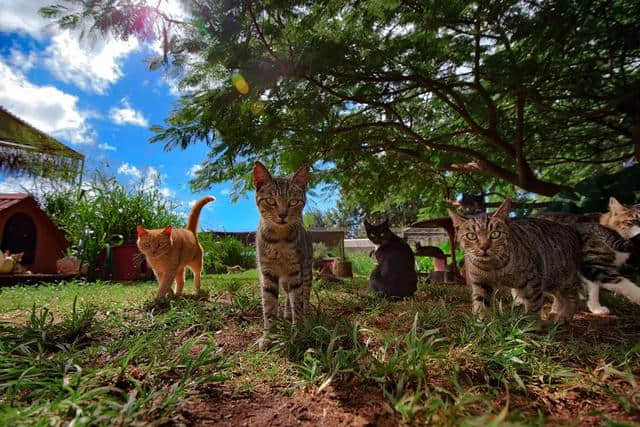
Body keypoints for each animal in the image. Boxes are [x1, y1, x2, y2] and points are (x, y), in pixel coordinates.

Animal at [255, 162, 316, 350]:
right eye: (271, 201)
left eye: (293, 201)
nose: (282, 215)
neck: (279, 240)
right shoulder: (267, 273)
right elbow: (269, 307)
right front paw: (268, 335)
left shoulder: (296, 271)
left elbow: (298, 302)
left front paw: (298, 332)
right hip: (284, 280)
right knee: (288, 296)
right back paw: (286, 314)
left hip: (306, 272)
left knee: (303, 296)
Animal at [450, 201, 584, 324]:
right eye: (471, 236)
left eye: (495, 234)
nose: (484, 247)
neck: (493, 266)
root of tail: (569, 228)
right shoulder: (481, 283)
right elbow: (481, 304)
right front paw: (482, 324)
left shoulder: (533, 280)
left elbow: (533, 304)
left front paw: (532, 325)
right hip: (552, 280)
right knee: (560, 296)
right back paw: (555, 313)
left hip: (561, 277)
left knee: (573, 297)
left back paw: (564, 316)